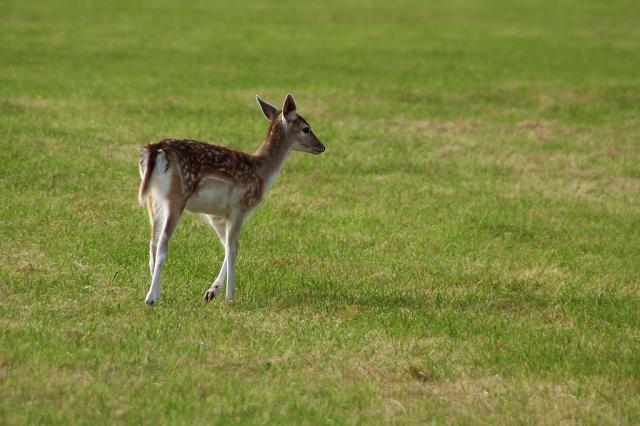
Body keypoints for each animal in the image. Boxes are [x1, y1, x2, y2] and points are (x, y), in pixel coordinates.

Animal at [137, 95, 322, 304]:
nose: (322, 146)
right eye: (306, 128)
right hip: (176, 197)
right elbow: (233, 249)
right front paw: (230, 296)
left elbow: (225, 246)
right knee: (162, 246)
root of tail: (154, 150)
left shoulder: (217, 215)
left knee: (152, 245)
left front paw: (211, 292)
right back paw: (151, 297)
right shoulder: (239, 207)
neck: (261, 172)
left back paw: (157, 292)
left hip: (153, 200)